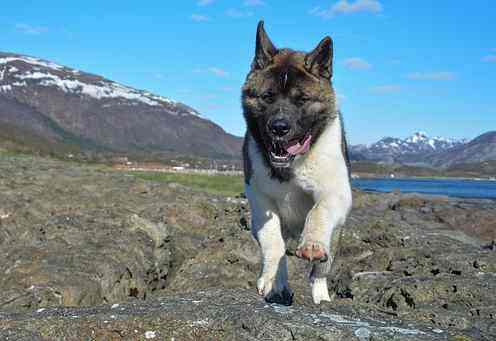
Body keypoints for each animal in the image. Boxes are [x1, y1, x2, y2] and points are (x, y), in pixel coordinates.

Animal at [241, 20, 352, 302]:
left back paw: (321, 295)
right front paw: (272, 280)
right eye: (267, 97)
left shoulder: (336, 192)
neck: (293, 164)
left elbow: (319, 210)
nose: (279, 127)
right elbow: (273, 241)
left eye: (302, 99)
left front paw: (312, 243)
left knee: (320, 271)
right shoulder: (260, 201)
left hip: (335, 237)